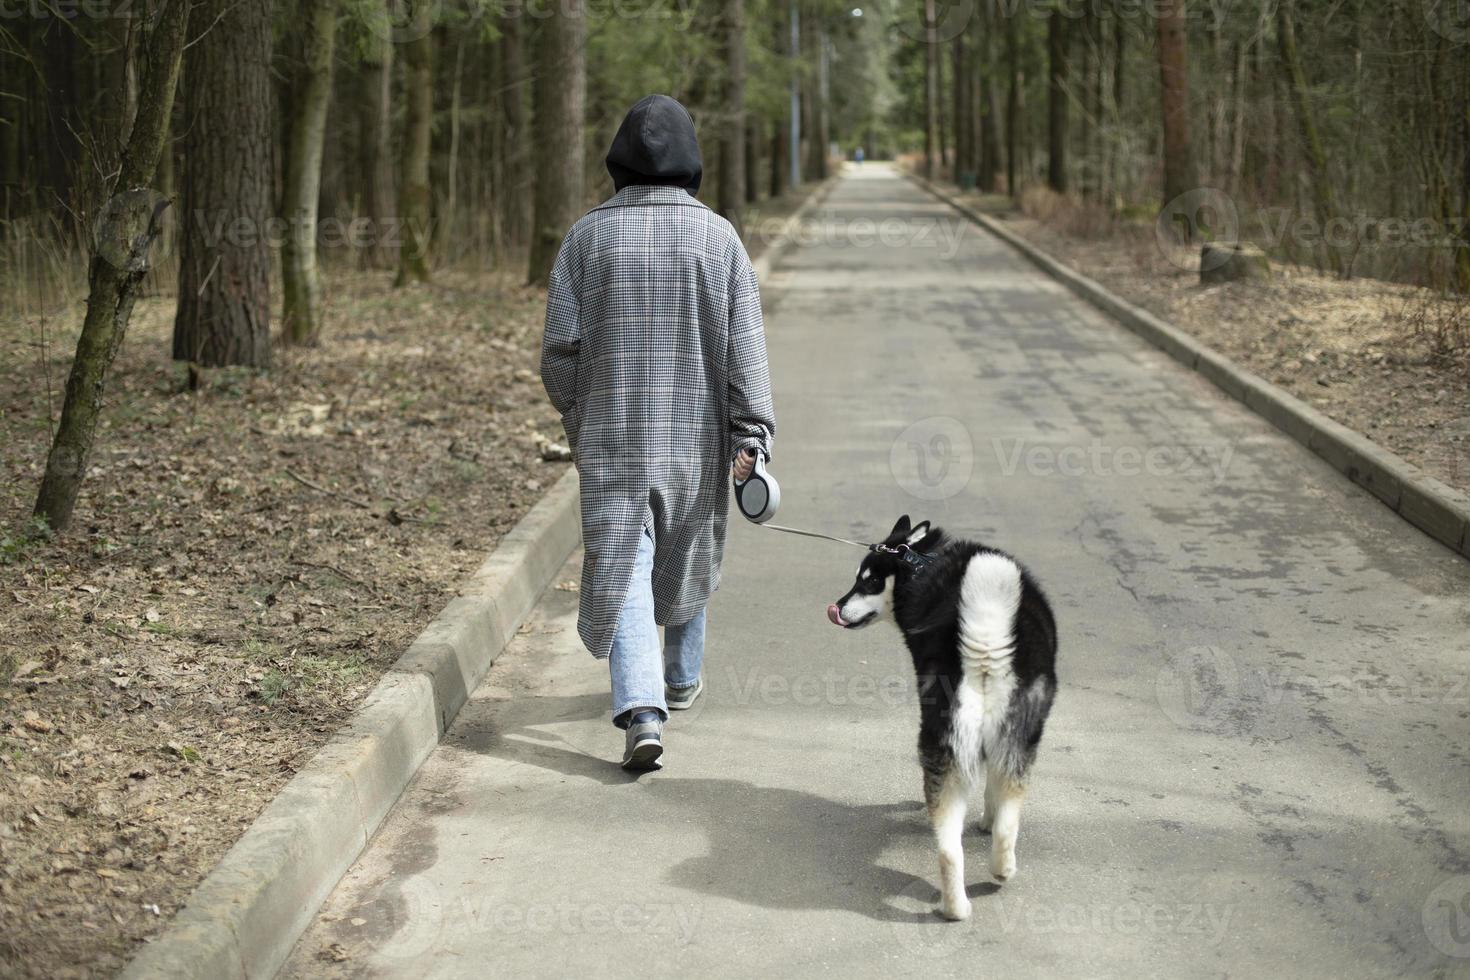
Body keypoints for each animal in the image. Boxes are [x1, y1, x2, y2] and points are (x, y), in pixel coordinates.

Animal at [829, 517, 1058, 922]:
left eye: (869, 582)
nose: (836, 608)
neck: (924, 564)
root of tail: (985, 640)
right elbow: (991, 790)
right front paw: (985, 819)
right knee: (971, 838)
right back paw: (975, 893)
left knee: (971, 839)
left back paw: (977, 890)